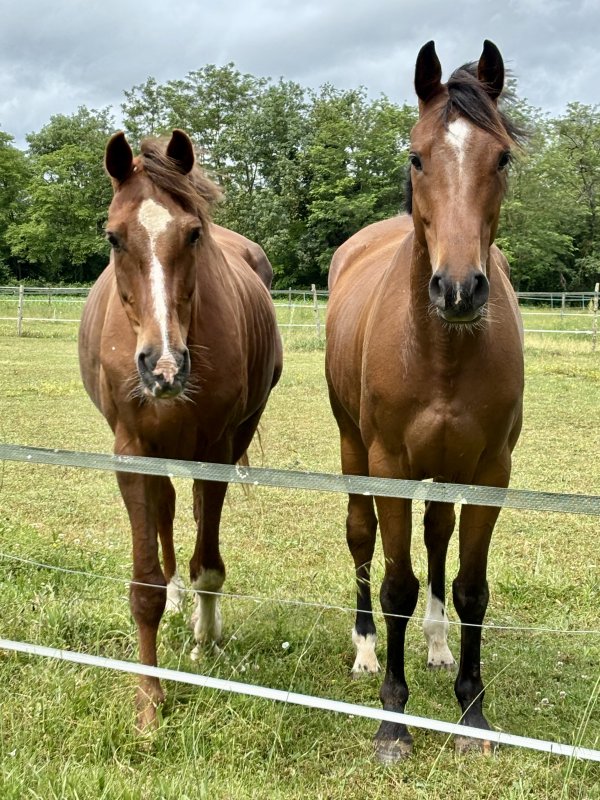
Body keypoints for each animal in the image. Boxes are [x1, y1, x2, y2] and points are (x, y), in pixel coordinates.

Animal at [79, 129, 282, 730]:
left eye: (193, 234)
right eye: (113, 237)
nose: (163, 367)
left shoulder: (215, 449)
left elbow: (208, 563)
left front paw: (205, 637)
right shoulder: (131, 453)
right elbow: (144, 582)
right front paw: (149, 702)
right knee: (167, 511)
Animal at [325, 41, 524, 762]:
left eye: (502, 158)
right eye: (416, 156)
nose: (459, 289)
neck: (441, 353)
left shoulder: (491, 473)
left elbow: (469, 587)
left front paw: (473, 712)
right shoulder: (388, 466)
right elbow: (397, 586)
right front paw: (393, 720)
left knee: (439, 537)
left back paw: (438, 648)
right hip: (354, 450)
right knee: (361, 539)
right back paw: (363, 651)